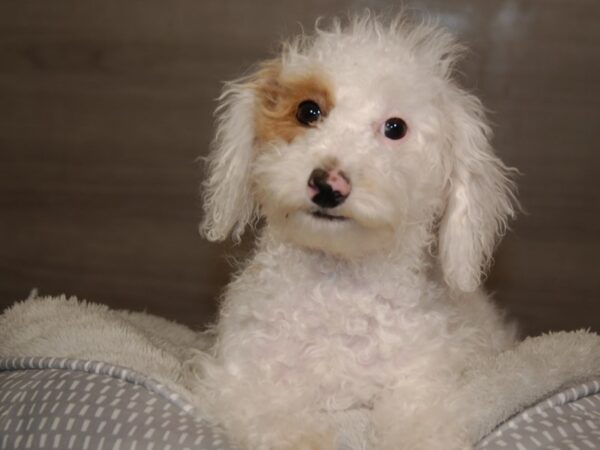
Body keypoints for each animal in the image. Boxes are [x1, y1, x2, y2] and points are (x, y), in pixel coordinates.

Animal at [195, 12, 516, 450]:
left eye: (395, 128)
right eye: (309, 111)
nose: (328, 185)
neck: (337, 293)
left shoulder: (423, 387)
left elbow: (421, 424)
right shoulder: (242, 380)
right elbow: (273, 418)